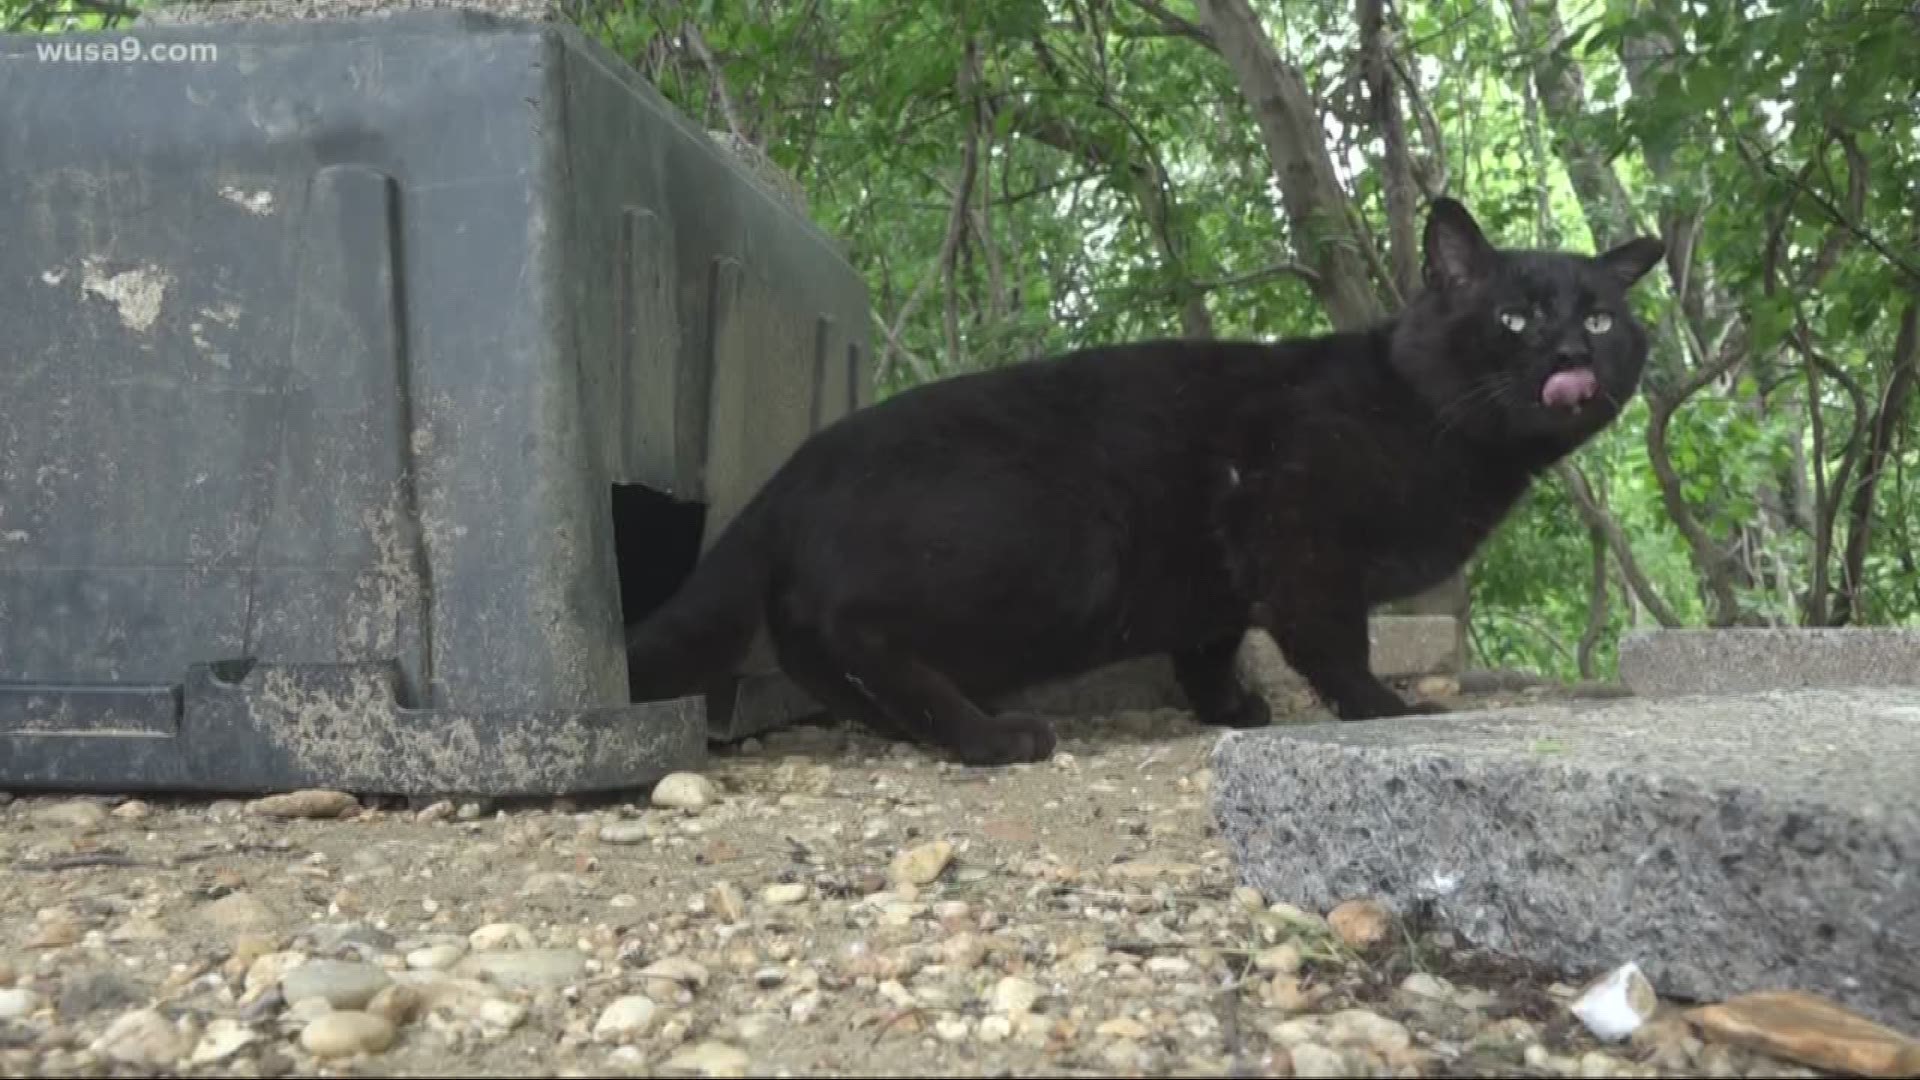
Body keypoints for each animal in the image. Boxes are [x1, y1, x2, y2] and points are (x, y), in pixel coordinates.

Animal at [629, 197, 1666, 760]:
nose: (1573, 354)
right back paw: (985, 736)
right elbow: (1332, 643)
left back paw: (918, 728)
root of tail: (797, 469)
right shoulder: (1300, 532)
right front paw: (1382, 707)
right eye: (1515, 318)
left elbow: (1207, 648)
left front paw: (1233, 710)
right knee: (855, 630)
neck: (1429, 420)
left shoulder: (1217, 574)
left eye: (1602, 319)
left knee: (817, 647)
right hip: (1053, 545)